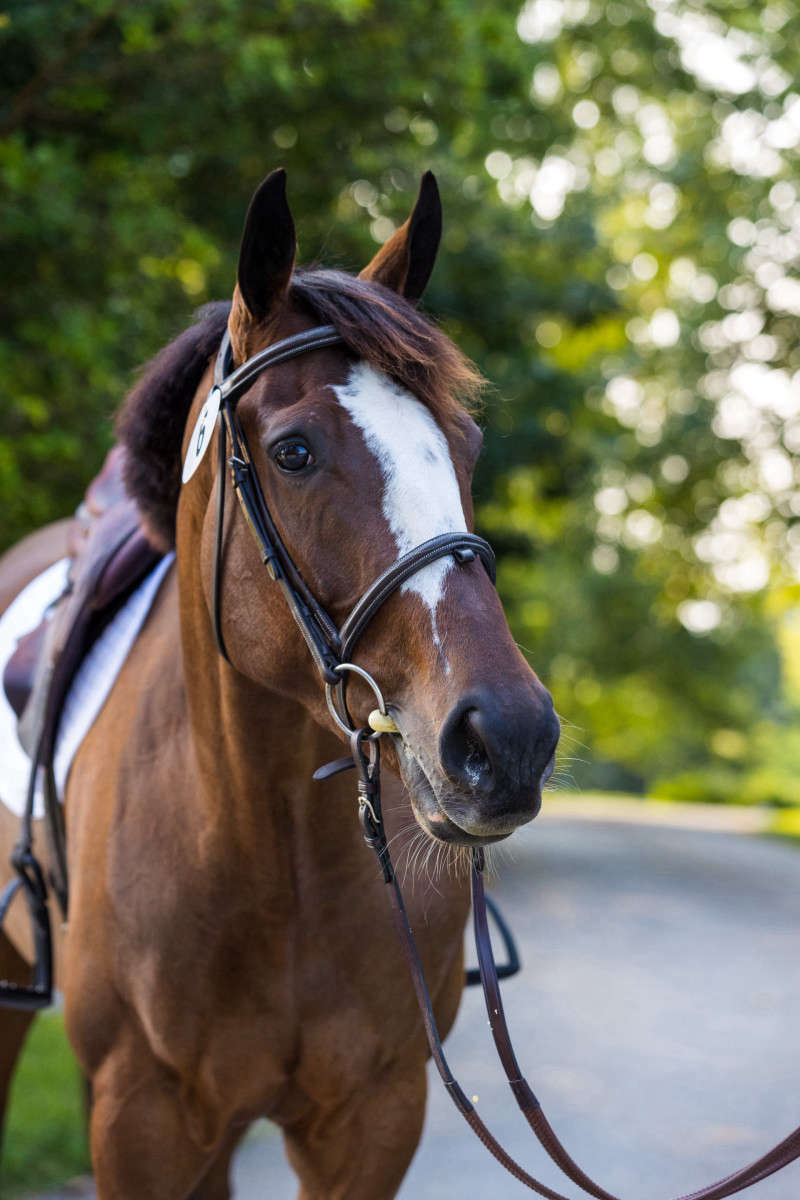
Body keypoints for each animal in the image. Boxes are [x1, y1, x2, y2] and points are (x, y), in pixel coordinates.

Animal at [0, 171, 556, 1200]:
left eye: (467, 443)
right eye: (294, 451)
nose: (508, 739)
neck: (266, 846)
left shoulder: (375, 1117)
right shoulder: (139, 1120)